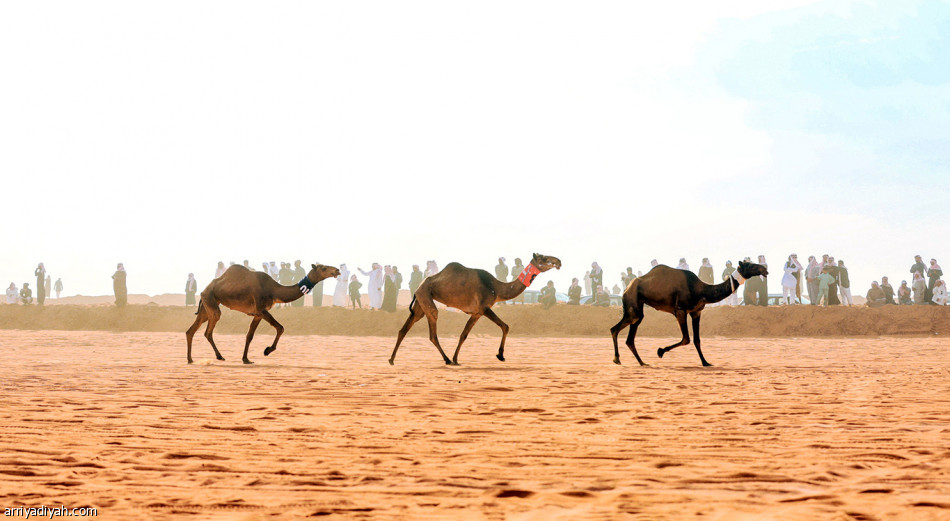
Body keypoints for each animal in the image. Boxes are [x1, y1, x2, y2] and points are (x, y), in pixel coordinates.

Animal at [186, 262, 342, 364]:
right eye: (323, 267)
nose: (337, 270)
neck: (274, 289)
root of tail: (204, 289)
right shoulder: (261, 309)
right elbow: (280, 327)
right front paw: (267, 350)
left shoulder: (258, 314)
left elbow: (249, 336)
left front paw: (246, 359)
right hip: (211, 301)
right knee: (208, 330)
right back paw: (219, 356)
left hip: (206, 305)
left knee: (191, 330)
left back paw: (190, 359)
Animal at [388, 253, 560, 366]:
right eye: (544, 258)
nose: (558, 261)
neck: (497, 288)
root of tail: (419, 286)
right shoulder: (484, 308)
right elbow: (505, 326)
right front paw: (500, 355)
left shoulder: (477, 313)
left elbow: (464, 334)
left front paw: (456, 358)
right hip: (426, 297)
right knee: (432, 331)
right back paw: (446, 359)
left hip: (421, 302)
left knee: (405, 328)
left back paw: (391, 359)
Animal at [612, 260, 768, 366]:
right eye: (750, 265)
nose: (765, 269)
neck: (702, 289)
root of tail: (626, 288)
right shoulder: (680, 310)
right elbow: (686, 338)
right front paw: (660, 351)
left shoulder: (696, 312)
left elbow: (697, 340)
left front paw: (706, 362)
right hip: (633, 305)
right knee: (616, 329)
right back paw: (618, 359)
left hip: (637, 310)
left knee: (628, 336)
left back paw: (640, 362)